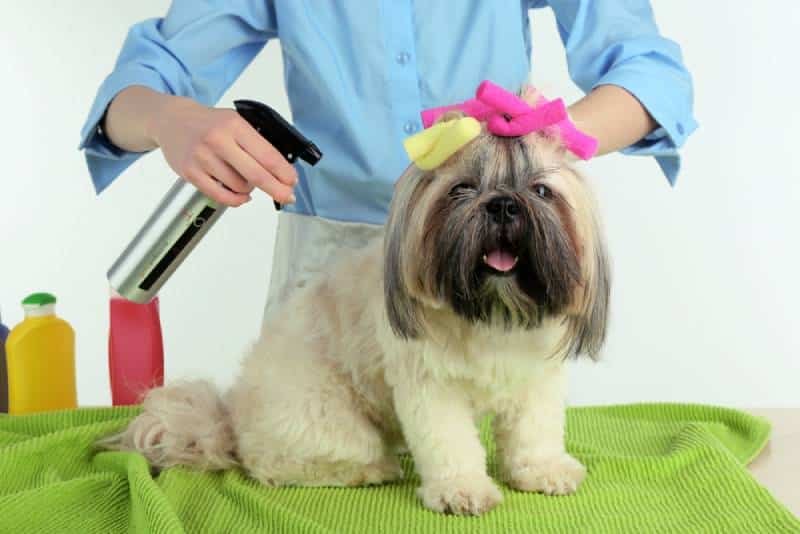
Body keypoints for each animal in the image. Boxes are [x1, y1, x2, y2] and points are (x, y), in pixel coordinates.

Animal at [101, 93, 612, 520]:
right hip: (330, 423)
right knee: (276, 463)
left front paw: (543, 470)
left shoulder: (536, 379)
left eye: (541, 191)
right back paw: (372, 469)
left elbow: (535, 430)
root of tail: (229, 416)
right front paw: (461, 490)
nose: (503, 204)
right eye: (461, 189)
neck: (490, 313)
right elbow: (450, 443)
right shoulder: (430, 388)